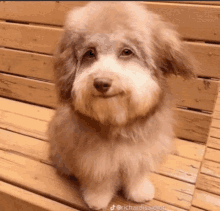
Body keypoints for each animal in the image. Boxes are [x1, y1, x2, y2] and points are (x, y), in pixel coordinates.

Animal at [47, 2, 194, 211]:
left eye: (126, 51)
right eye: (90, 53)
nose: (101, 82)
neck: (117, 120)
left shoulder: (140, 152)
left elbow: (136, 174)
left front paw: (139, 192)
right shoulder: (94, 159)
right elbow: (100, 180)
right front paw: (97, 199)